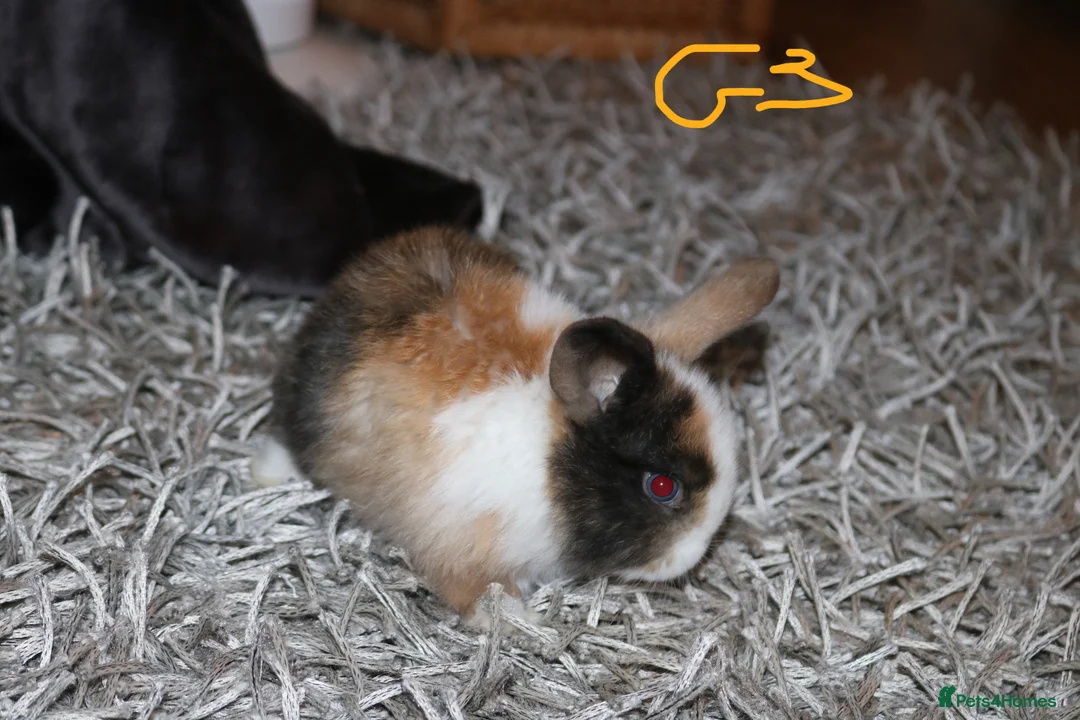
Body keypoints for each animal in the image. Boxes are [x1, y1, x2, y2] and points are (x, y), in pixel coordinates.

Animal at [251, 226, 780, 629]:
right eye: (663, 486)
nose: (697, 553)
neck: (551, 455)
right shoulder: (458, 540)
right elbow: (475, 589)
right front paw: (514, 621)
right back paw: (269, 476)